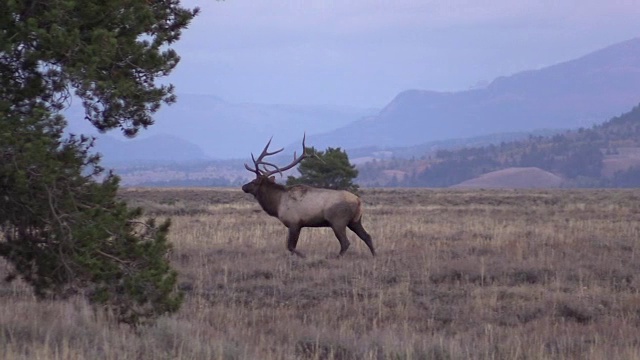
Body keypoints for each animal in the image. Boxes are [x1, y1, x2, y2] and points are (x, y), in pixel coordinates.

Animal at [244, 136, 376, 258]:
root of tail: (358, 201)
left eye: (254, 181)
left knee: (345, 242)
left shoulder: (294, 223)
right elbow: (289, 246)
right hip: (355, 221)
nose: (244, 186)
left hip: (338, 221)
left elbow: (290, 246)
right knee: (367, 236)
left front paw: (304, 256)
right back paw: (375, 255)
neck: (277, 204)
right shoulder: (295, 225)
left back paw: (338, 257)